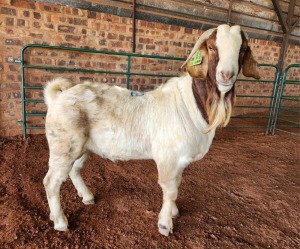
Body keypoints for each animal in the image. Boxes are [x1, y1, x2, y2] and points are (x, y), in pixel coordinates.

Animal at [42, 24, 260, 236]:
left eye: (242, 50)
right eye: (212, 47)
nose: (226, 75)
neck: (190, 103)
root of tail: (58, 97)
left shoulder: (180, 160)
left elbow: (177, 184)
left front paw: (173, 211)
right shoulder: (168, 158)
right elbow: (170, 189)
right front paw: (165, 225)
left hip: (82, 147)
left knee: (74, 170)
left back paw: (85, 197)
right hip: (63, 145)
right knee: (51, 181)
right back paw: (60, 222)